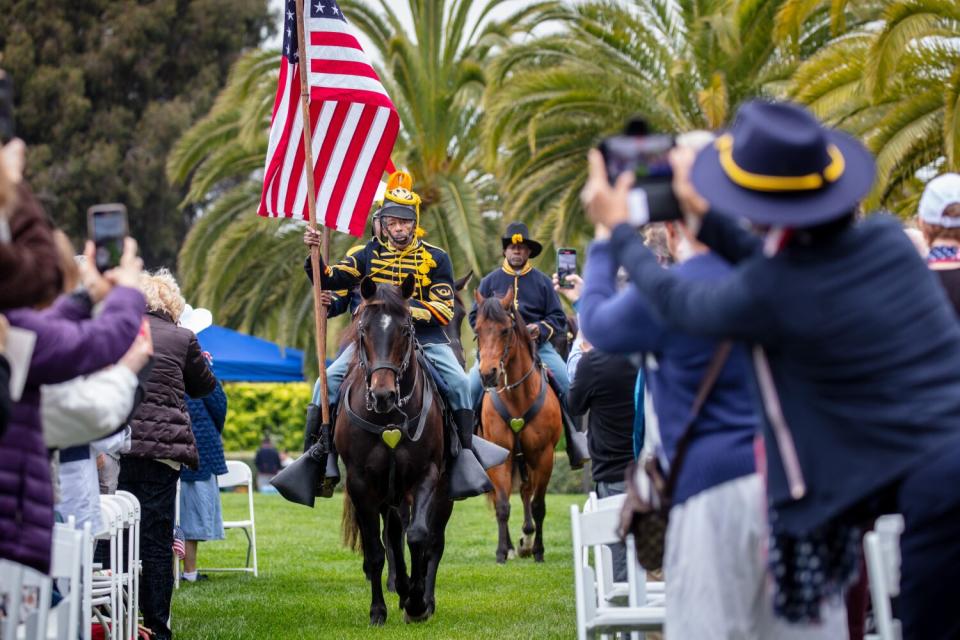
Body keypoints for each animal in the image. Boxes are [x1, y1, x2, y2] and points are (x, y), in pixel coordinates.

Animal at [338, 274, 454, 624]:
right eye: (363, 329)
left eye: (406, 330)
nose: (383, 395)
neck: (389, 418)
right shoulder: (361, 484)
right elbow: (377, 551)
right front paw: (379, 609)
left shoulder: (425, 476)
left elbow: (418, 537)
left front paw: (416, 602)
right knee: (390, 538)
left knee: (433, 542)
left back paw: (422, 597)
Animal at [472, 288, 564, 564]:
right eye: (478, 330)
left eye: (505, 330)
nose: (487, 374)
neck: (517, 398)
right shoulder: (501, 456)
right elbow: (502, 505)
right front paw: (502, 551)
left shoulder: (543, 456)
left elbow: (538, 505)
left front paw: (539, 550)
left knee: (526, 493)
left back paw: (528, 539)